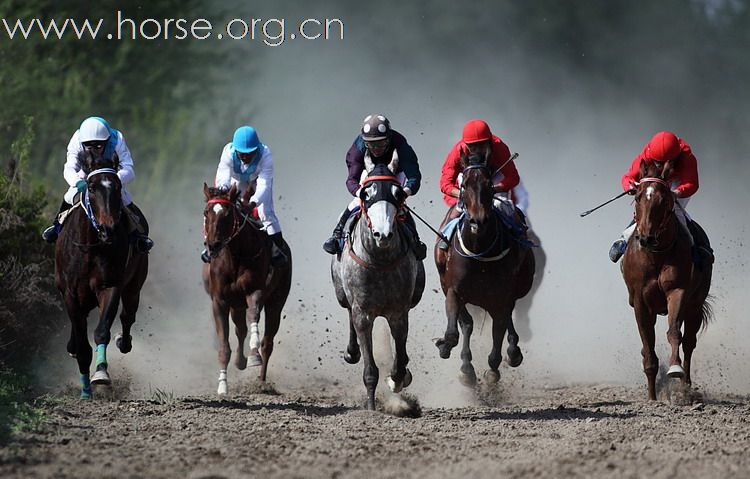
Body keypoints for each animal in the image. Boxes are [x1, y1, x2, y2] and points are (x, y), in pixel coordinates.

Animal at [55, 152, 149, 400]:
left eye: (117, 186)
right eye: (91, 187)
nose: (109, 229)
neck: (91, 247)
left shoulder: (110, 286)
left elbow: (102, 330)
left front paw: (100, 375)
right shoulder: (70, 294)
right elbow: (81, 343)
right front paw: (85, 389)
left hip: (135, 284)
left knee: (127, 316)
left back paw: (123, 341)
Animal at [201, 182, 292, 396]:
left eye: (227, 214)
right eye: (206, 212)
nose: (213, 245)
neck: (235, 257)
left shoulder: (254, 291)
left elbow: (254, 315)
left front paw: (253, 354)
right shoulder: (220, 301)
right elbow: (224, 346)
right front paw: (222, 386)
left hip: (276, 301)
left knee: (267, 342)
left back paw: (261, 380)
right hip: (236, 305)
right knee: (240, 330)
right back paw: (240, 362)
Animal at [332, 152, 426, 410]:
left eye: (399, 194)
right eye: (367, 194)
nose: (382, 234)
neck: (379, 260)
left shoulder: (398, 312)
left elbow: (400, 357)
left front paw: (397, 379)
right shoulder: (363, 313)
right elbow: (370, 369)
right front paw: (371, 408)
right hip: (342, 295)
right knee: (348, 313)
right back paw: (351, 352)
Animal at [432, 152, 536, 388]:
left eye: (489, 185)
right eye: (464, 185)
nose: (477, 220)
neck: (479, 253)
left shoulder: (501, 297)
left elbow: (498, 331)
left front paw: (493, 369)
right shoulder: (454, 290)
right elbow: (460, 328)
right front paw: (458, 360)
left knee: (507, 319)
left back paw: (513, 352)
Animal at [624, 161, 716, 402]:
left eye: (664, 199)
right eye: (638, 196)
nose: (646, 238)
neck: (656, 255)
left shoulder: (678, 291)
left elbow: (674, 332)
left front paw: (675, 369)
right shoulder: (640, 301)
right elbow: (648, 345)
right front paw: (652, 397)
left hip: (694, 305)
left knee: (689, 342)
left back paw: (686, 385)